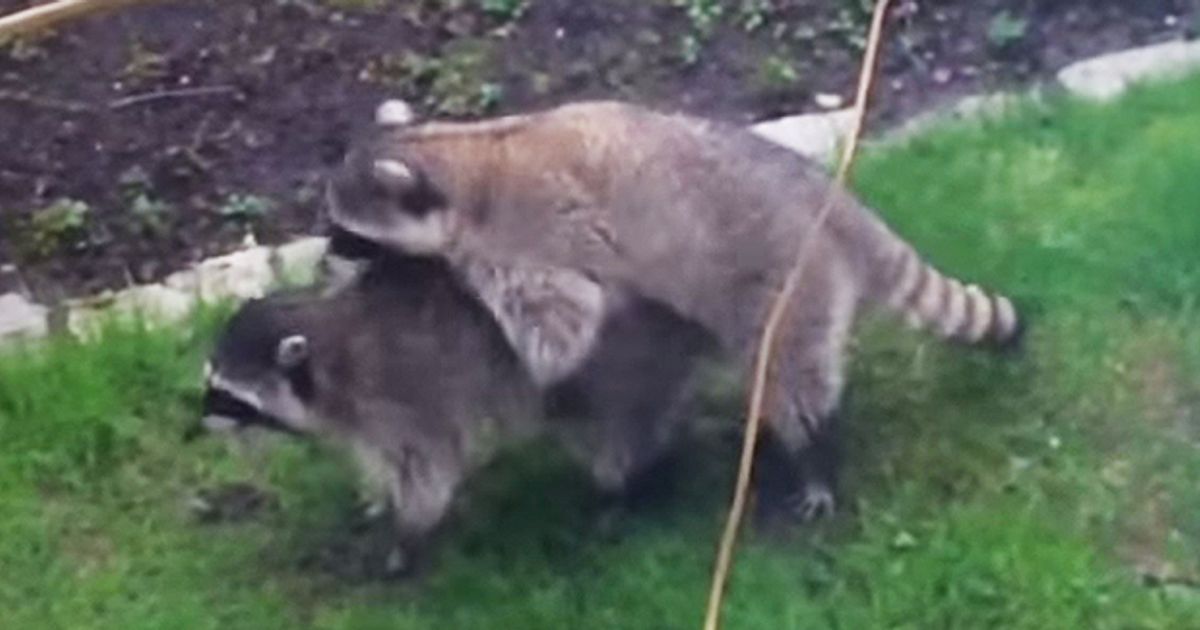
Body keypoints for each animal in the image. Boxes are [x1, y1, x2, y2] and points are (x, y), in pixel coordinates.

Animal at [326, 99, 1024, 519]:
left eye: (343, 229)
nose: (330, 253)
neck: (459, 151)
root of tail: (829, 204)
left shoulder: (530, 240)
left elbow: (564, 331)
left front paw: (435, 272)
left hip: (787, 288)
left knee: (790, 377)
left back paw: (817, 455)